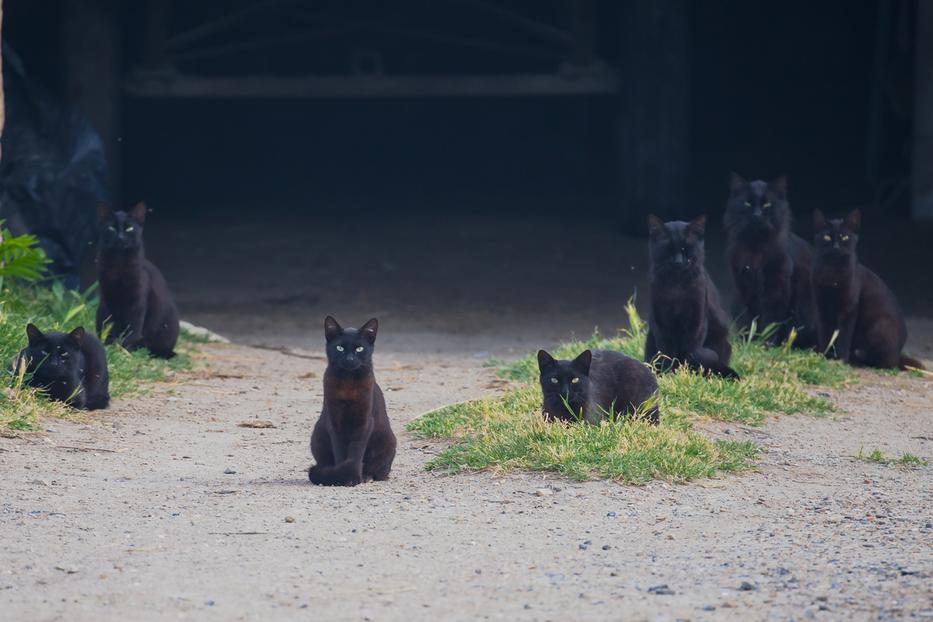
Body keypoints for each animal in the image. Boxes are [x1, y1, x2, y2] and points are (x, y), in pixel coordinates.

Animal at [96, 200, 178, 356]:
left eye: (129, 228)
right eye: (111, 228)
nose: (120, 237)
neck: (119, 264)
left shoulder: (137, 299)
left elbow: (133, 328)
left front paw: (126, 349)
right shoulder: (108, 298)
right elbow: (111, 325)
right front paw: (111, 345)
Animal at [306, 316, 394, 488]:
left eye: (359, 349)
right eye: (339, 348)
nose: (349, 359)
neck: (348, 383)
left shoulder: (364, 422)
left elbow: (356, 452)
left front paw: (352, 476)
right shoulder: (334, 421)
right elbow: (340, 451)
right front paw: (342, 475)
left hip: (388, 442)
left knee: (380, 471)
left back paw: (367, 476)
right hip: (317, 437)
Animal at [644, 214, 740, 380]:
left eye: (686, 249)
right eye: (669, 250)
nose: (678, 261)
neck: (676, 286)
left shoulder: (697, 318)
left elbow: (692, 349)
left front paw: (687, 374)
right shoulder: (660, 321)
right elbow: (666, 351)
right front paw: (669, 373)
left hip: (721, 340)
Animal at [720, 176, 816, 348]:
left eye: (767, 204)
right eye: (747, 203)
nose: (757, 214)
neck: (756, 247)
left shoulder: (776, 289)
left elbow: (771, 322)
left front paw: (765, 345)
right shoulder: (745, 287)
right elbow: (752, 320)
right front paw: (749, 343)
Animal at [812, 210, 920, 370]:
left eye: (845, 237)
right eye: (827, 237)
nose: (836, 247)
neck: (832, 273)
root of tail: (899, 354)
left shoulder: (849, 309)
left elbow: (844, 336)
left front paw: (841, 359)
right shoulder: (821, 307)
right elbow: (824, 334)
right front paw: (823, 355)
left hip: (880, 325)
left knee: (886, 363)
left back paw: (857, 360)